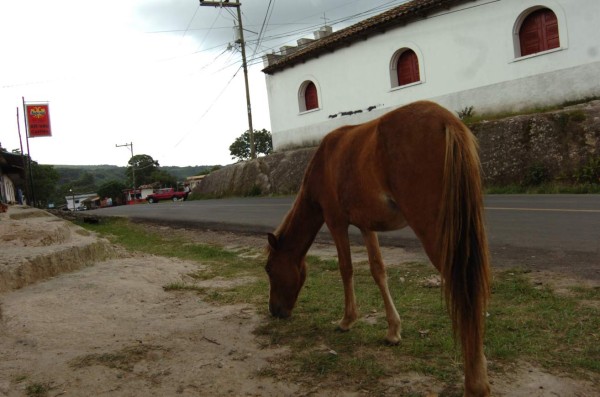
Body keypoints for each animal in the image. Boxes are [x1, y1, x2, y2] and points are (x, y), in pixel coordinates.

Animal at [268, 100, 492, 394]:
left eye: (269, 269)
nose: (274, 311)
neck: (323, 162)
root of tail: (448, 122)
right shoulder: (367, 226)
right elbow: (378, 270)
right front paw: (393, 330)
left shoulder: (336, 223)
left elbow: (346, 269)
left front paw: (347, 319)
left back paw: (475, 381)